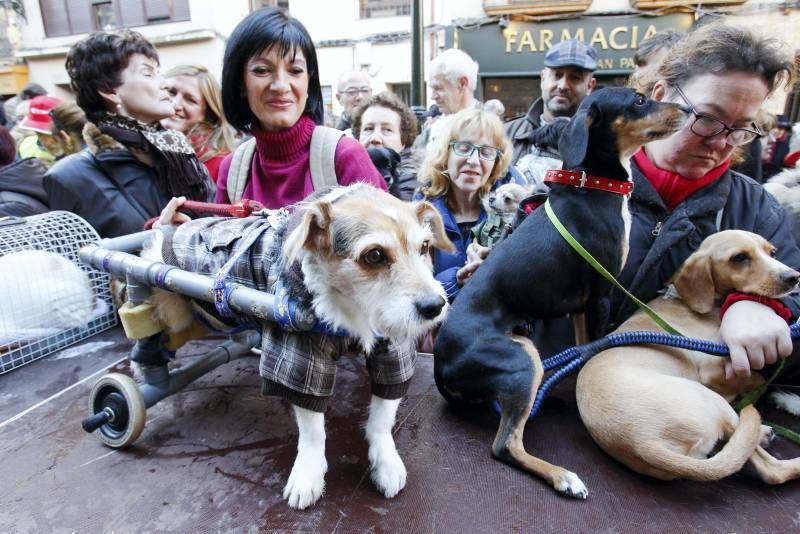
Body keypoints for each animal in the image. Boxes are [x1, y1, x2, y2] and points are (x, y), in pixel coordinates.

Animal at [143, 184, 454, 510]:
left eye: (425, 247)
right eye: (375, 255)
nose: (435, 306)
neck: (352, 308)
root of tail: (168, 227)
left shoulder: (393, 350)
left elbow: (383, 416)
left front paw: (386, 462)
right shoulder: (297, 351)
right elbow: (313, 429)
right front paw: (308, 474)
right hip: (172, 312)